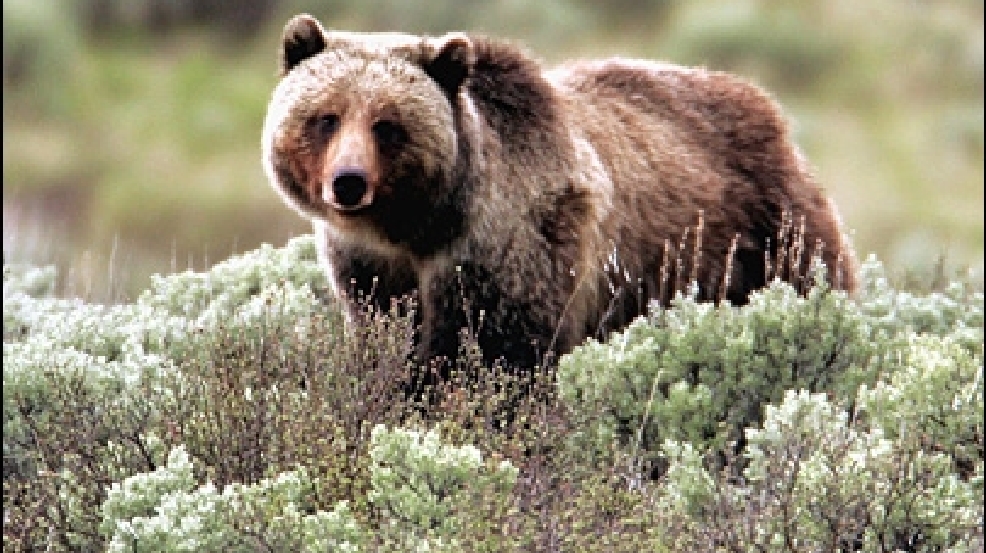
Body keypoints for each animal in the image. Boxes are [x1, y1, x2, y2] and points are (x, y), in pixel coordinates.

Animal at [261, 14, 856, 378]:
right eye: (326, 117)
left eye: (388, 125)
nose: (349, 181)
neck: (419, 226)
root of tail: (770, 108)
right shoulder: (370, 267)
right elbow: (388, 336)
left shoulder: (513, 246)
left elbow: (503, 352)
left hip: (766, 233)